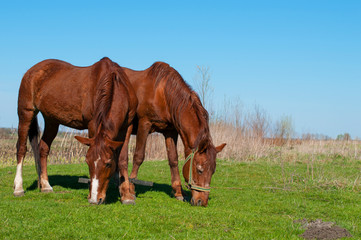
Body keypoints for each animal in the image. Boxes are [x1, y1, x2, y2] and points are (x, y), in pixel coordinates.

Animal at [14, 56, 136, 204]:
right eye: (87, 162)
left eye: (108, 164)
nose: (95, 199)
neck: (114, 83)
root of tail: (31, 71)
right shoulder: (92, 124)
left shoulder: (127, 126)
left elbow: (122, 159)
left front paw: (126, 195)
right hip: (26, 113)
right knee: (21, 148)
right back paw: (18, 188)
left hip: (51, 120)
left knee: (43, 148)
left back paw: (45, 186)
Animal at [124, 62, 225, 206]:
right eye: (199, 170)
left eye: (213, 171)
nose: (202, 201)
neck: (162, 92)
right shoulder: (144, 124)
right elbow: (138, 156)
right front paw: (132, 189)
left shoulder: (170, 131)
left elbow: (173, 159)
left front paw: (178, 192)